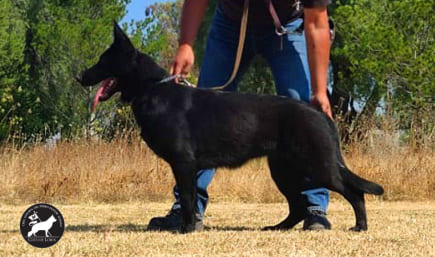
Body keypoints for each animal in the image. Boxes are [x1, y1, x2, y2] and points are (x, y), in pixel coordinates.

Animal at [76, 23, 384, 232]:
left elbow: (187, 198)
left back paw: (360, 226)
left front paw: (187, 230)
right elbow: (189, 199)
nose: (79, 76)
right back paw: (277, 228)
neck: (152, 89)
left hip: (317, 166)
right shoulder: (186, 166)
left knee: (353, 192)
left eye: (103, 60)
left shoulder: (183, 163)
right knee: (297, 206)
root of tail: (320, 113)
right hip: (284, 171)